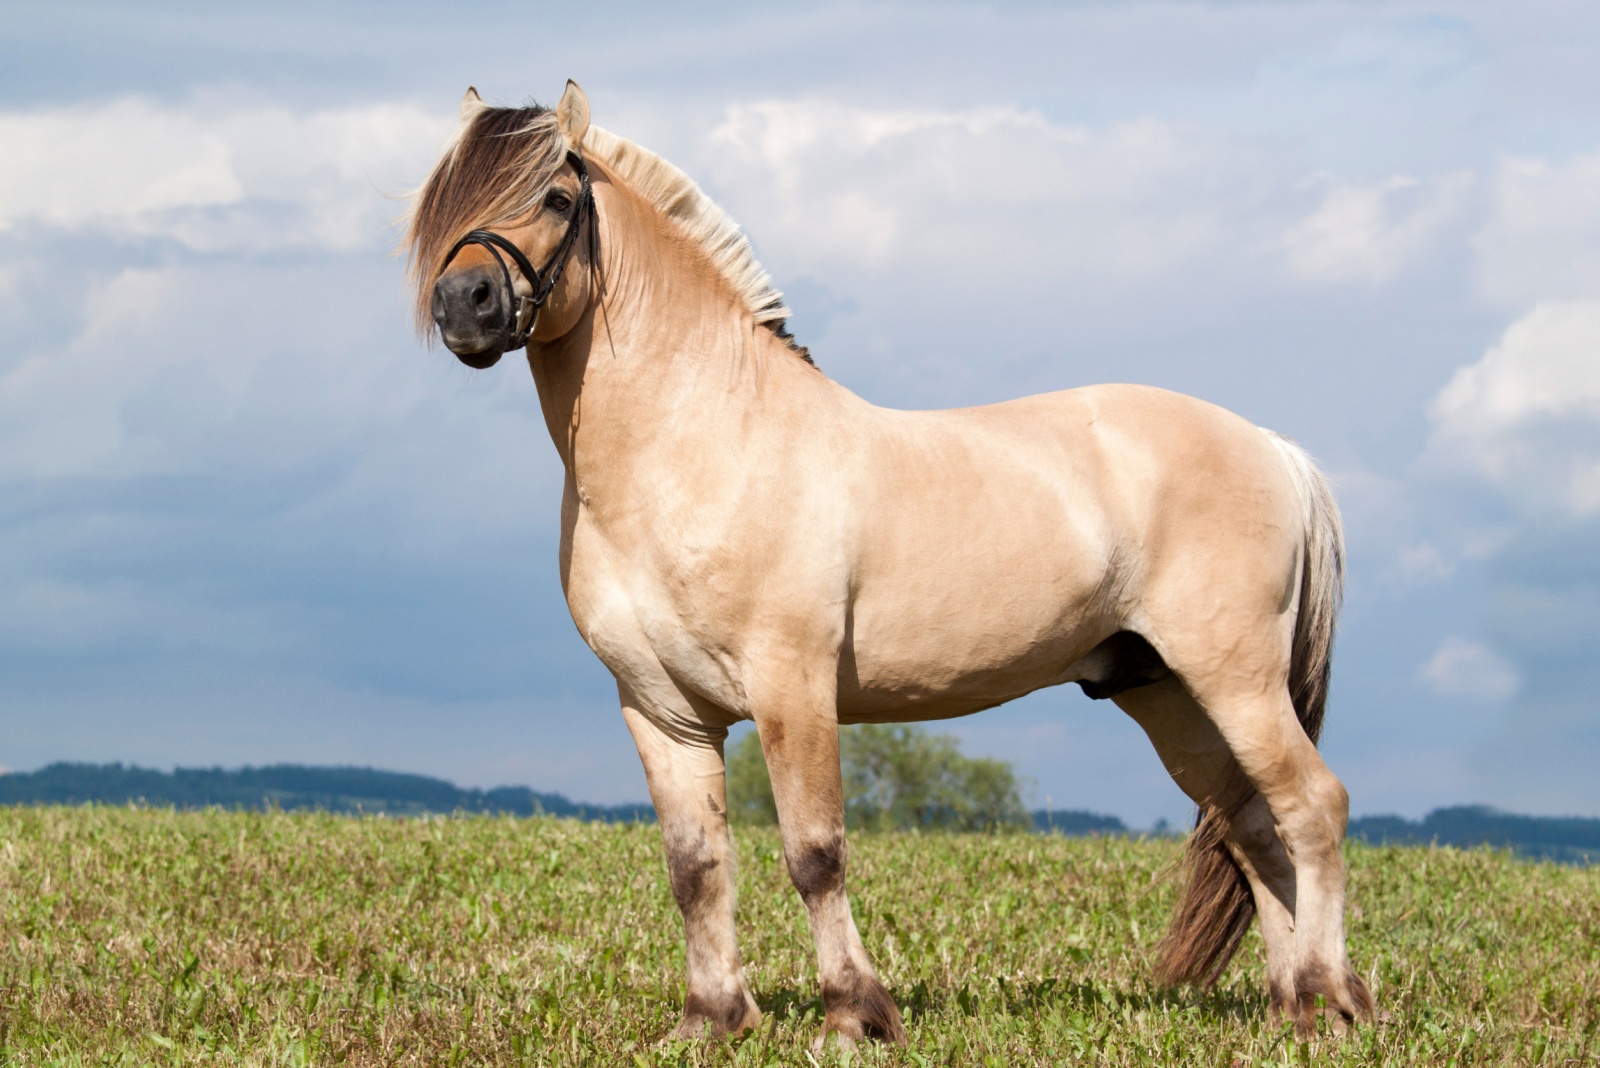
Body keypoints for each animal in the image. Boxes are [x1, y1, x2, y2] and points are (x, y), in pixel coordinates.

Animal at [406, 81, 1369, 1042]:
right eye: (442, 204)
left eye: (555, 197)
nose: (465, 305)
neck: (700, 443)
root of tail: (1274, 448)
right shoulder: (663, 712)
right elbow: (695, 865)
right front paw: (711, 1020)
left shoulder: (792, 687)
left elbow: (814, 853)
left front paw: (854, 1016)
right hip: (1167, 693)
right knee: (1252, 826)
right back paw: (1293, 1005)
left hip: (1233, 677)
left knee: (1312, 807)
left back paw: (1330, 997)